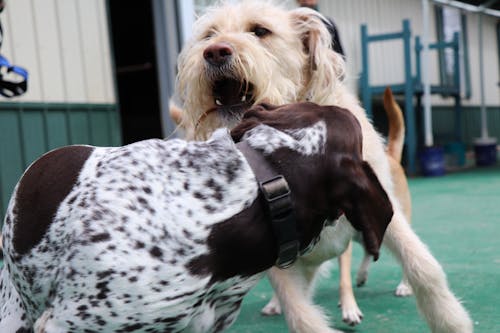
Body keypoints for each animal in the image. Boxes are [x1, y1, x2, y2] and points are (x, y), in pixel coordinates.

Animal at [175, 1, 472, 330]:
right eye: (209, 35)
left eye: (260, 31)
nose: (214, 52)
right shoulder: (278, 251)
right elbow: (301, 314)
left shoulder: (383, 209)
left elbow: (424, 266)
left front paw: (451, 321)